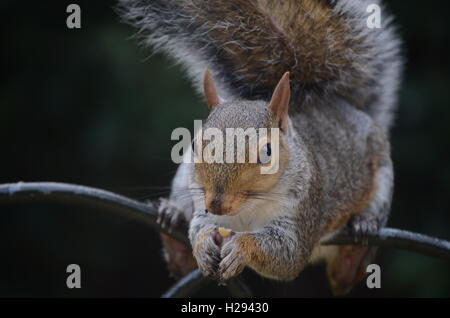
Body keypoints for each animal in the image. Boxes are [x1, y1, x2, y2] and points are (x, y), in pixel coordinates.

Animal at [118, 0, 402, 296]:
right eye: (195, 143)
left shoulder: (301, 215)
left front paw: (243, 248)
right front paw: (204, 244)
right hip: (184, 178)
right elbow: (200, 228)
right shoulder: (203, 206)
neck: (247, 211)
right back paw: (174, 224)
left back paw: (354, 249)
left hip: (381, 168)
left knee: (350, 263)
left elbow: (286, 255)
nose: (216, 205)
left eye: (267, 152)